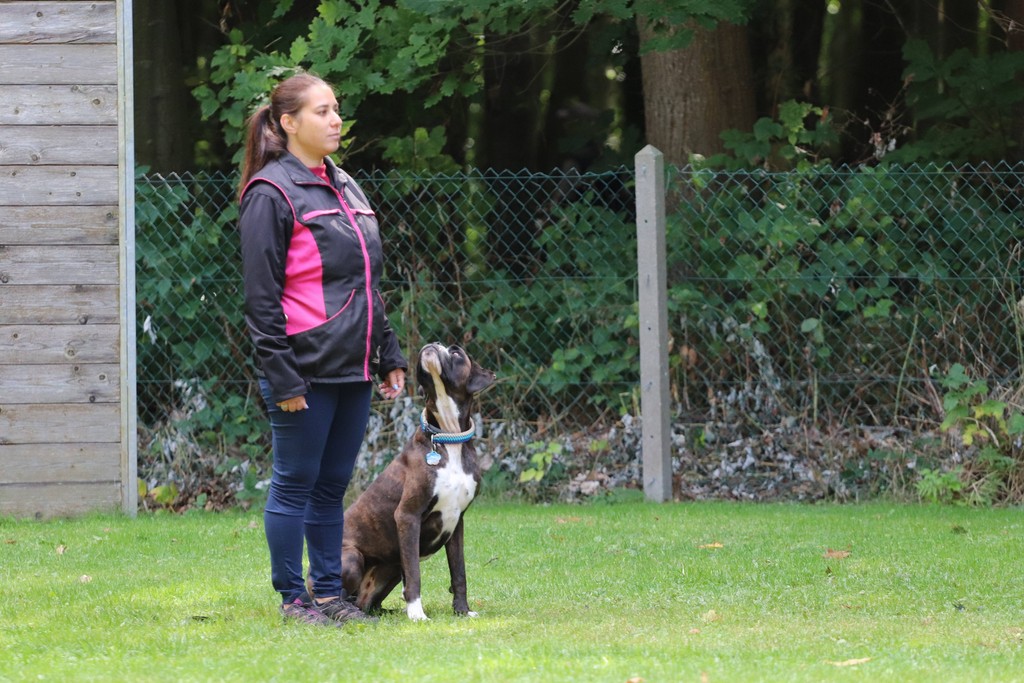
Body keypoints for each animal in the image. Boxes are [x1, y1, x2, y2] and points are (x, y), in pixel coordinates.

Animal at [340, 342, 495, 621]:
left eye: (456, 352)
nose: (433, 344)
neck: (447, 436)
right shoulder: (408, 516)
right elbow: (414, 574)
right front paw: (416, 614)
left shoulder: (457, 521)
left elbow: (459, 572)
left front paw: (462, 611)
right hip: (352, 558)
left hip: (390, 567)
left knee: (366, 602)